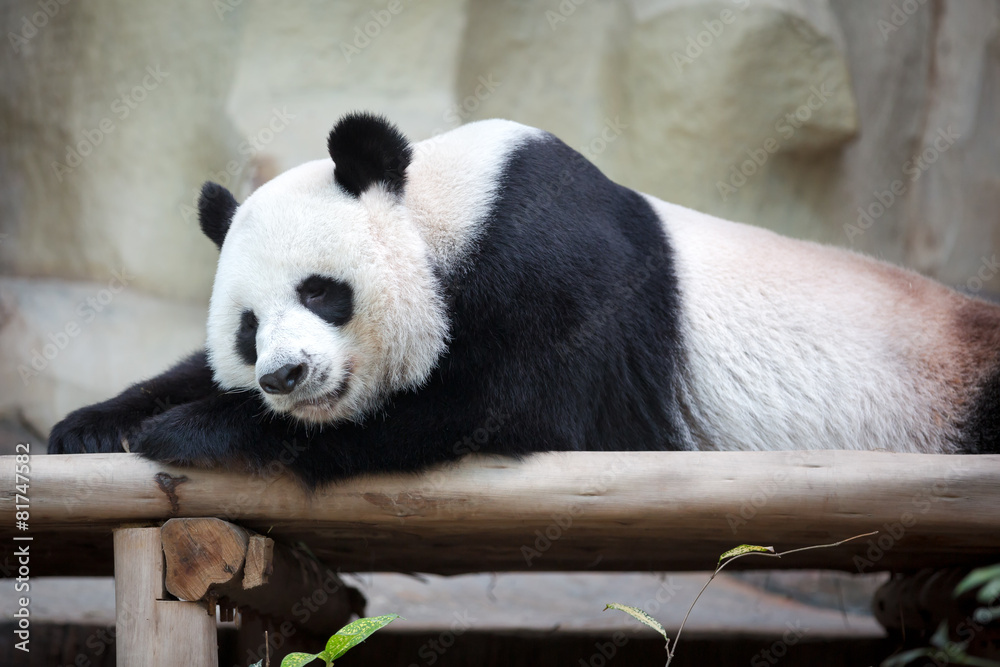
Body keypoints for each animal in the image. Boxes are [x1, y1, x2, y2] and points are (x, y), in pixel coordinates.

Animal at [49, 112, 1000, 486]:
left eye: (322, 292)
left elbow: (493, 405)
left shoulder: (558, 268)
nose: (284, 375)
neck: (446, 208)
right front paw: (93, 423)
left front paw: (189, 430)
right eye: (248, 330)